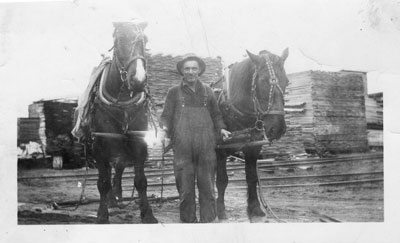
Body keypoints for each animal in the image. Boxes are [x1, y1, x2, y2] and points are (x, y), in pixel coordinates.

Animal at [88, 21, 157, 223]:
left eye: (145, 40)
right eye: (119, 40)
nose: (138, 80)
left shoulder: (138, 141)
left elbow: (141, 181)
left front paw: (148, 214)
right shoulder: (99, 144)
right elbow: (102, 182)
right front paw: (102, 215)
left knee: (118, 167)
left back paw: (116, 197)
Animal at [214, 49, 290, 220]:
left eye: (287, 81)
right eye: (262, 81)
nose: (277, 128)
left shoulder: (253, 147)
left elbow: (252, 177)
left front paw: (255, 208)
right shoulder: (220, 149)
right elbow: (222, 180)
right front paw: (220, 210)